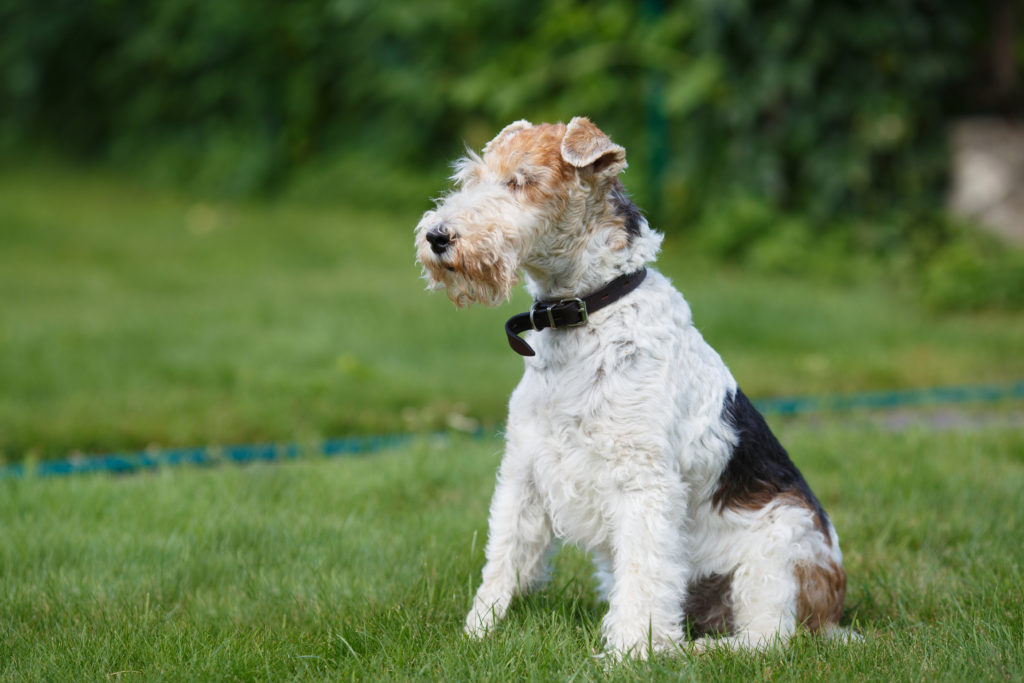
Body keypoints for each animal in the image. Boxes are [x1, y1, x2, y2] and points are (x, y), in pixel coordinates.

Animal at [413, 118, 847, 663]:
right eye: (471, 177)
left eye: (521, 181)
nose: (437, 236)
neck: (588, 311)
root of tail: (836, 614)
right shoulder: (524, 472)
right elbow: (503, 562)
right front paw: (477, 634)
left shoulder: (643, 483)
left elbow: (644, 578)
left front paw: (630, 654)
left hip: (776, 553)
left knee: (767, 639)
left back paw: (691, 651)